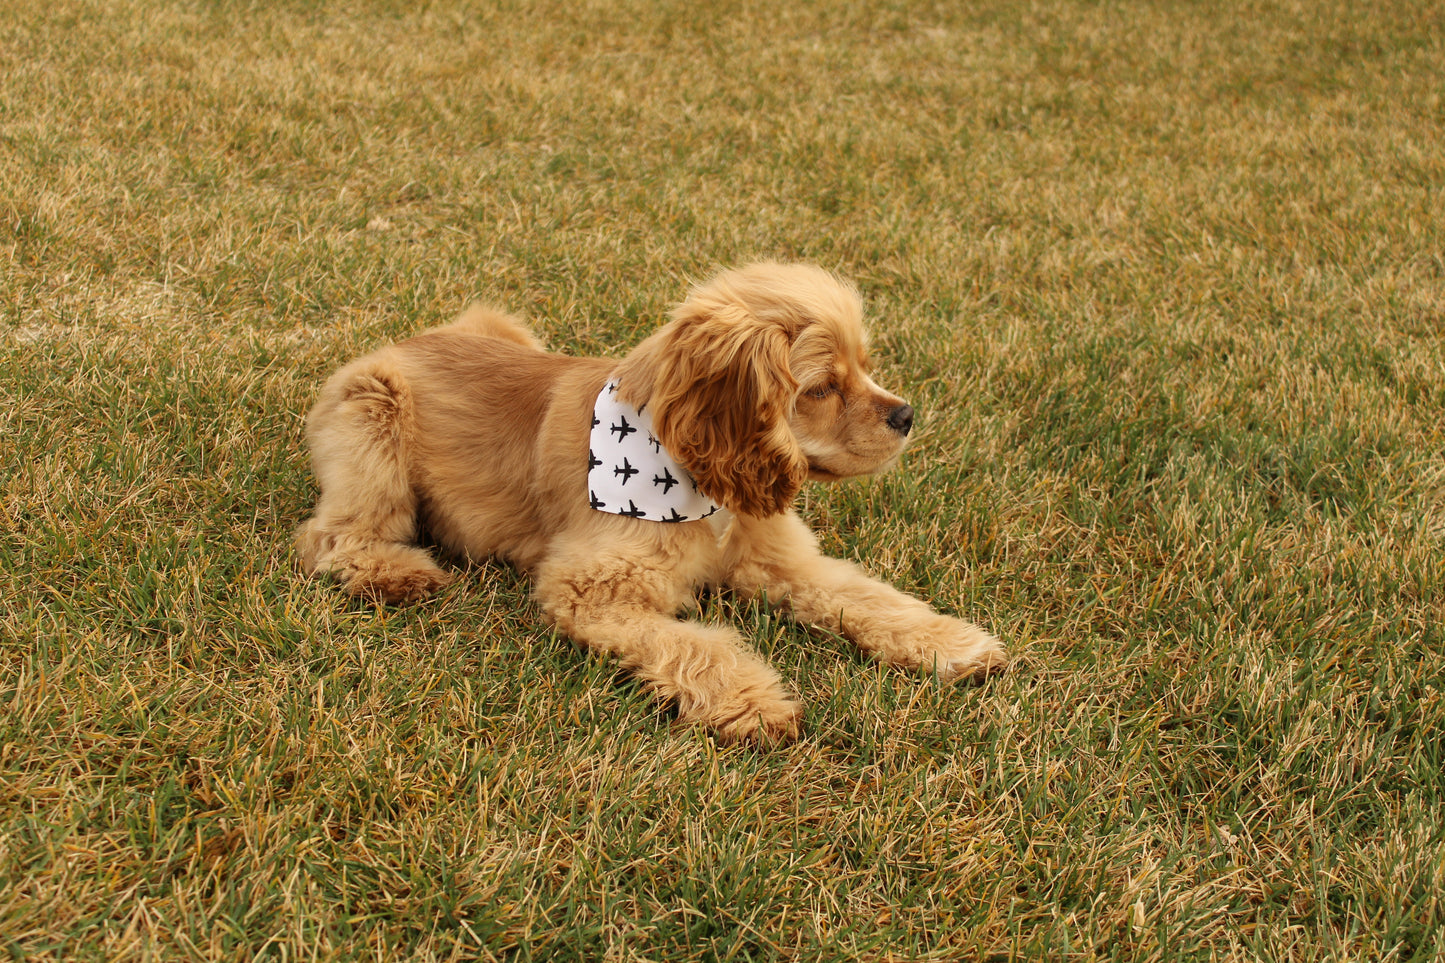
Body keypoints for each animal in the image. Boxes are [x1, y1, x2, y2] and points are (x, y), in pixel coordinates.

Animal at [296, 263, 1005, 740]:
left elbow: (867, 596)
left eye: (863, 366)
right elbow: (699, 646)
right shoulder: (590, 588)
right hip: (375, 416)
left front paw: (953, 644)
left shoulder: (783, 559)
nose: (907, 416)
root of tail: (394, 345)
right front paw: (755, 703)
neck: (704, 494)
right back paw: (396, 574)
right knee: (332, 536)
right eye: (823, 388)